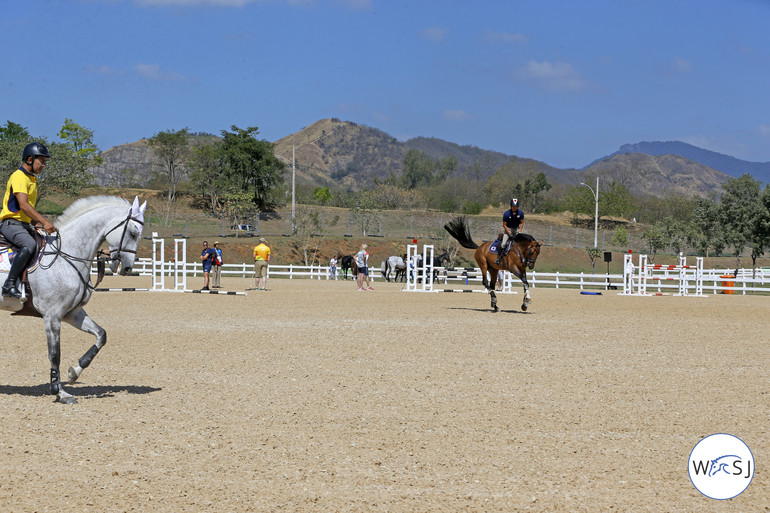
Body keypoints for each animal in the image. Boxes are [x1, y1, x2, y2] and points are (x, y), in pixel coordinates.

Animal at [0, 196, 146, 404]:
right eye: (133, 233)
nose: (126, 268)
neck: (67, 255)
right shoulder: (52, 316)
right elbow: (55, 354)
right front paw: (59, 392)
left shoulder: (72, 313)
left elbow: (101, 335)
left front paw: (74, 373)